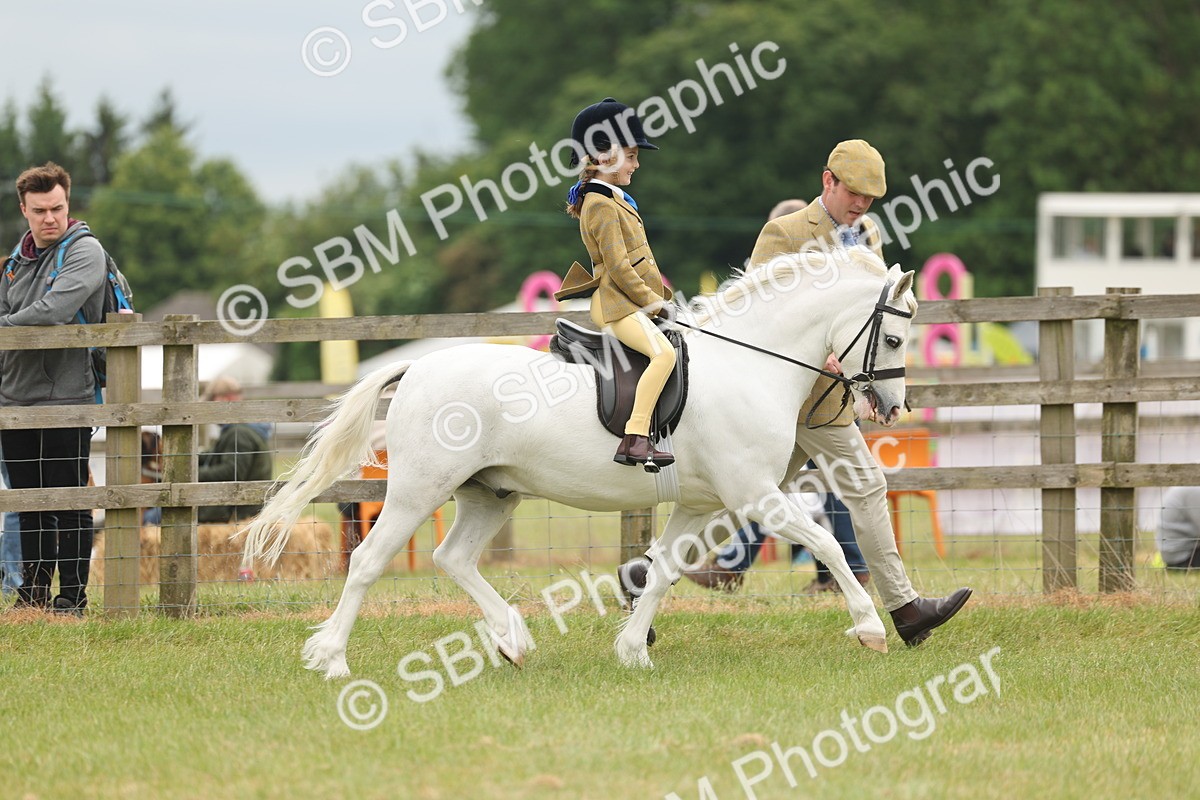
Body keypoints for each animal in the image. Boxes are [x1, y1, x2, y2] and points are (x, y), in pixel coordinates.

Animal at [242, 248, 918, 678]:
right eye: (893, 338)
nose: (892, 406)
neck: (749, 363)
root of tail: (419, 368)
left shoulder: (701, 504)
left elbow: (662, 571)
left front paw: (633, 652)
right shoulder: (754, 495)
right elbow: (828, 545)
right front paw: (869, 628)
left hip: (490, 493)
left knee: (453, 558)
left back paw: (513, 641)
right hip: (417, 491)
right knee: (366, 562)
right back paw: (331, 658)